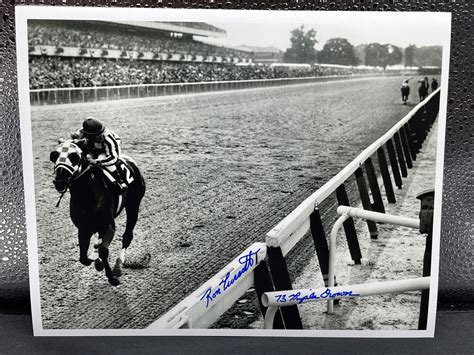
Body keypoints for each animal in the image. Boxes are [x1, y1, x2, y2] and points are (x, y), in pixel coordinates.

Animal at [49, 140, 146, 286]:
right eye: (54, 155)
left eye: (74, 156)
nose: (59, 181)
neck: (87, 196)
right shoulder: (83, 228)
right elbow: (83, 258)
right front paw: (94, 259)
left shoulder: (108, 225)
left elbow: (103, 251)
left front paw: (112, 278)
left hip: (133, 205)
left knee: (127, 236)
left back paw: (118, 266)